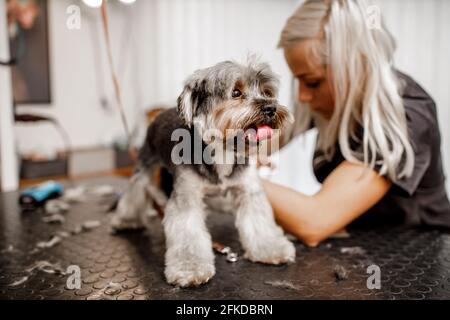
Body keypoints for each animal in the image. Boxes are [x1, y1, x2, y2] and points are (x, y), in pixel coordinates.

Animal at [111, 60, 298, 288]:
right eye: (236, 92)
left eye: (266, 92)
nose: (271, 108)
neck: (223, 151)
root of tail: (158, 114)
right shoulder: (186, 196)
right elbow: (188, 233)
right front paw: (190, 269)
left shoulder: (248, 189)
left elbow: (259, 221)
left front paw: (270, 248)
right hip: (147, 161)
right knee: (135, 191)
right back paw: (127, 220)